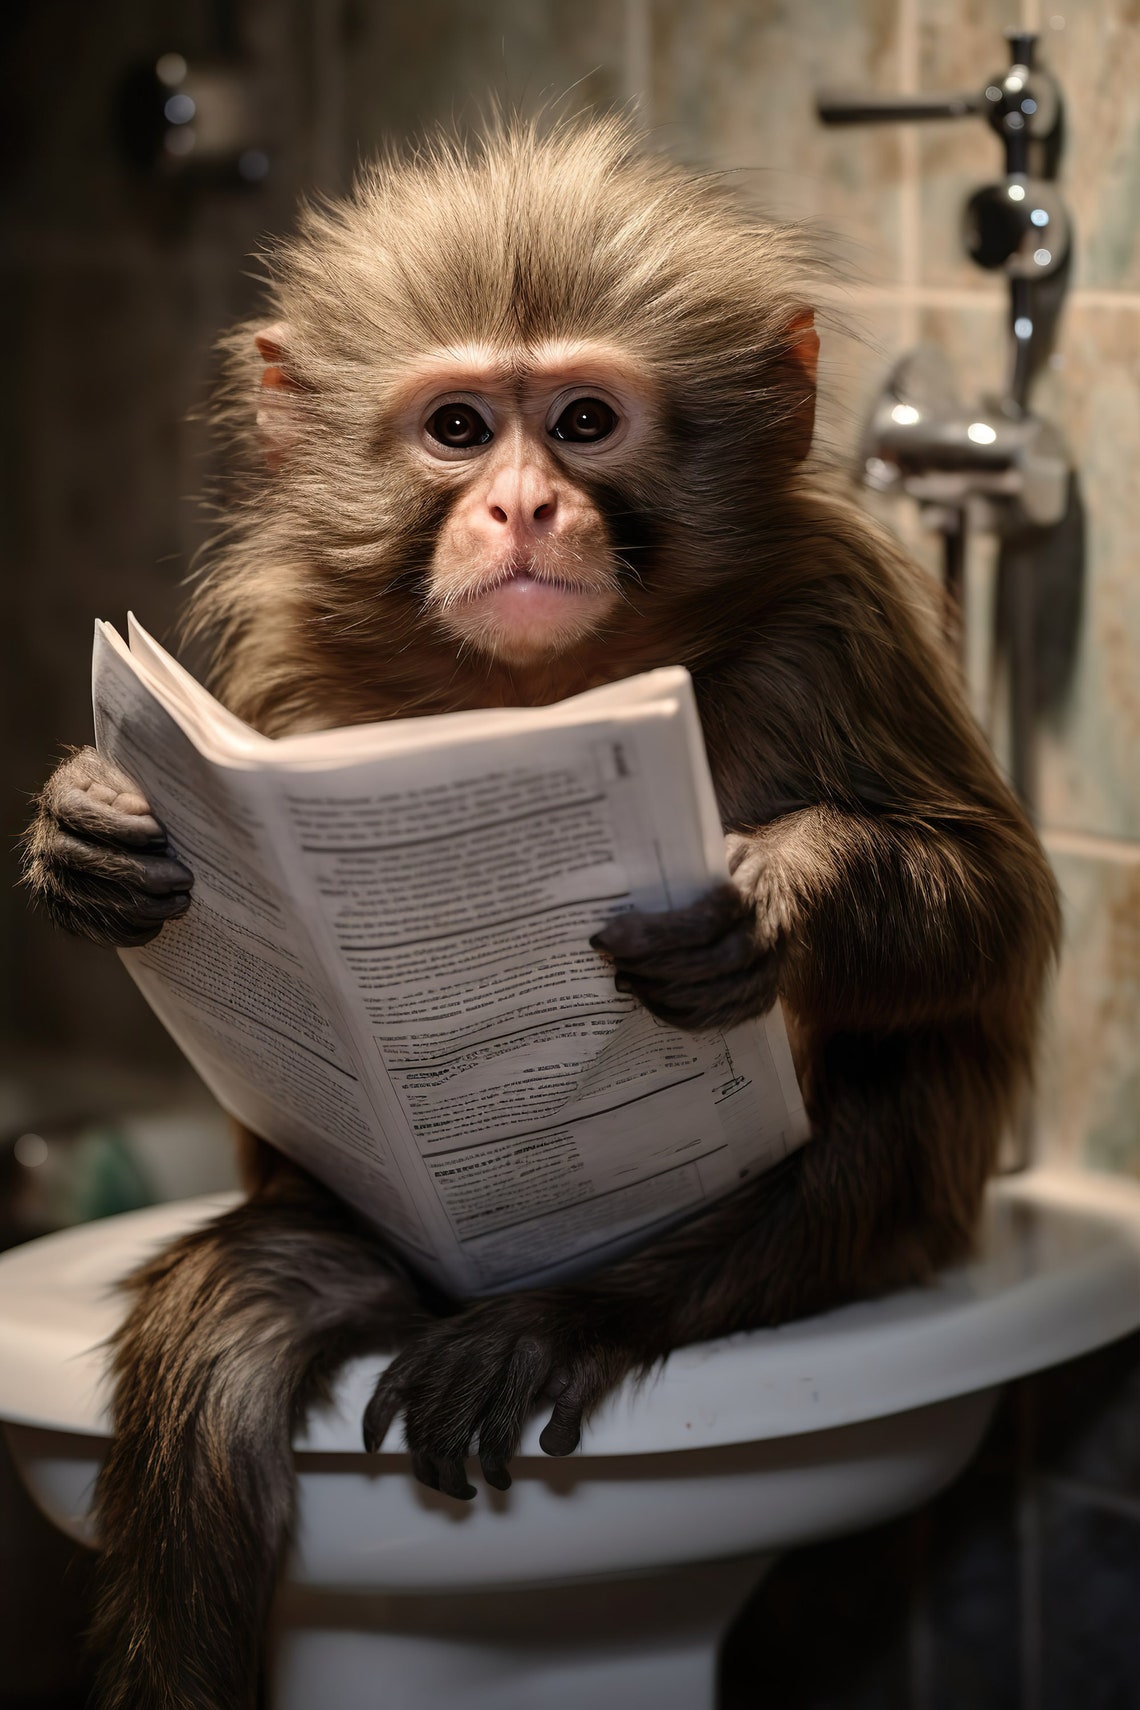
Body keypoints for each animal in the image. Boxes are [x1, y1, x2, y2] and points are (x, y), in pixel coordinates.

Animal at [22, 117, 1060, 1710]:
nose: (521, 506)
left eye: (582, 421)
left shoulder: (837, 619)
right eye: (458, 428)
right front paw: (88, 827)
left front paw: (770, 905)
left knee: (871, 1125)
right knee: (229, 1336)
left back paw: (569, 1315)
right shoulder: (279, 666)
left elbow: (994, 906)